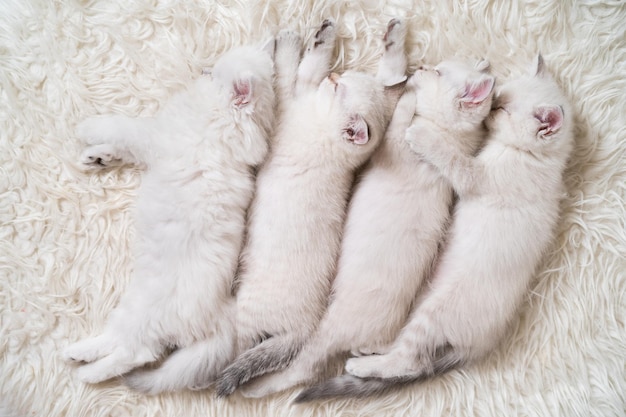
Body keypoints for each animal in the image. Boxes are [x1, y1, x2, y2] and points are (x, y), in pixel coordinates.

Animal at [62, 42, 274, 394]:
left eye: (211, 75)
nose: (201, 70)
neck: (225, 122)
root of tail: (219, 315)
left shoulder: (152, 136)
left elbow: (120, 127)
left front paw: (87, 128)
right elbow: (119, 148)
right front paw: (96, 158)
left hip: (142, 313)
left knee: (133, 353)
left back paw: (87, 369)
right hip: (136, 310)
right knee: (126, 345)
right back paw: (79, 354)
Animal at [212, 20, 402, 396]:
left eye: (339, 87)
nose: (335, 77)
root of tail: (302, 328)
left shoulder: (286, 106)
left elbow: (291, 73)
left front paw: (292, 43)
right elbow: (308, 71)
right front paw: (323, 38)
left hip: (251, 311)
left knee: (244, 345)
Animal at [298, 54, 572, 400]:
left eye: (505, 111)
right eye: (499, 102)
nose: (421, 67)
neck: (537, 158)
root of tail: (478, 346)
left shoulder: (477, 178)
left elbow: (435, 147)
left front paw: (414, 117)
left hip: (434, 314)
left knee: (411, 361)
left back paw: (362, 365)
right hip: (420, 300)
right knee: (405, 347)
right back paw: (368, 351)